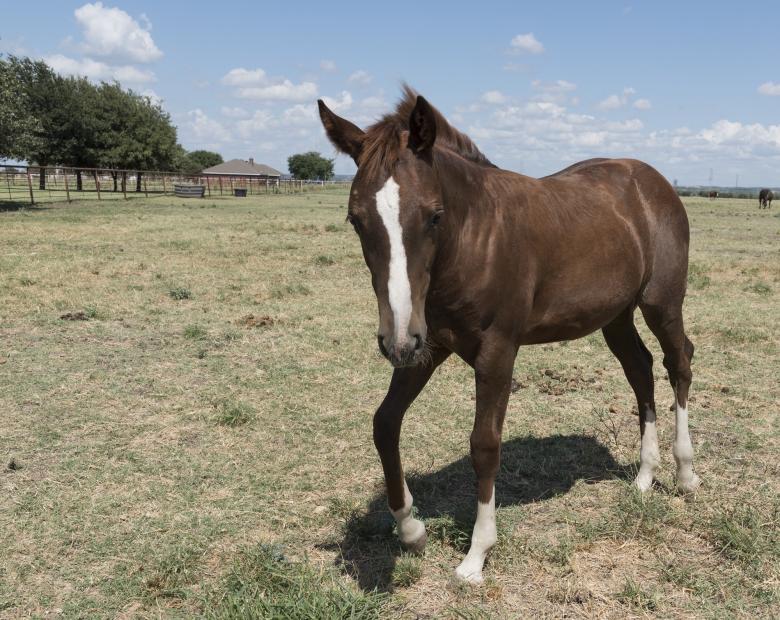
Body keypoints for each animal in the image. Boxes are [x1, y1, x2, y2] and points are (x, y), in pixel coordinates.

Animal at [318, 87, 700, 584]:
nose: (395, 343)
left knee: (679, 363)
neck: (475, 239)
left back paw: (686, 474)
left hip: (661, 302)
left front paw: (476, 556)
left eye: (434, 216)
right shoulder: (429, 346)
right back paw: (643, 477)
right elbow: (385, 423)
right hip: (615, 315)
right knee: (641, 369)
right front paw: (411, 529)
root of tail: (654, 181)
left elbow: (484, 444)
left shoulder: (496, 352)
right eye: (356, 219)